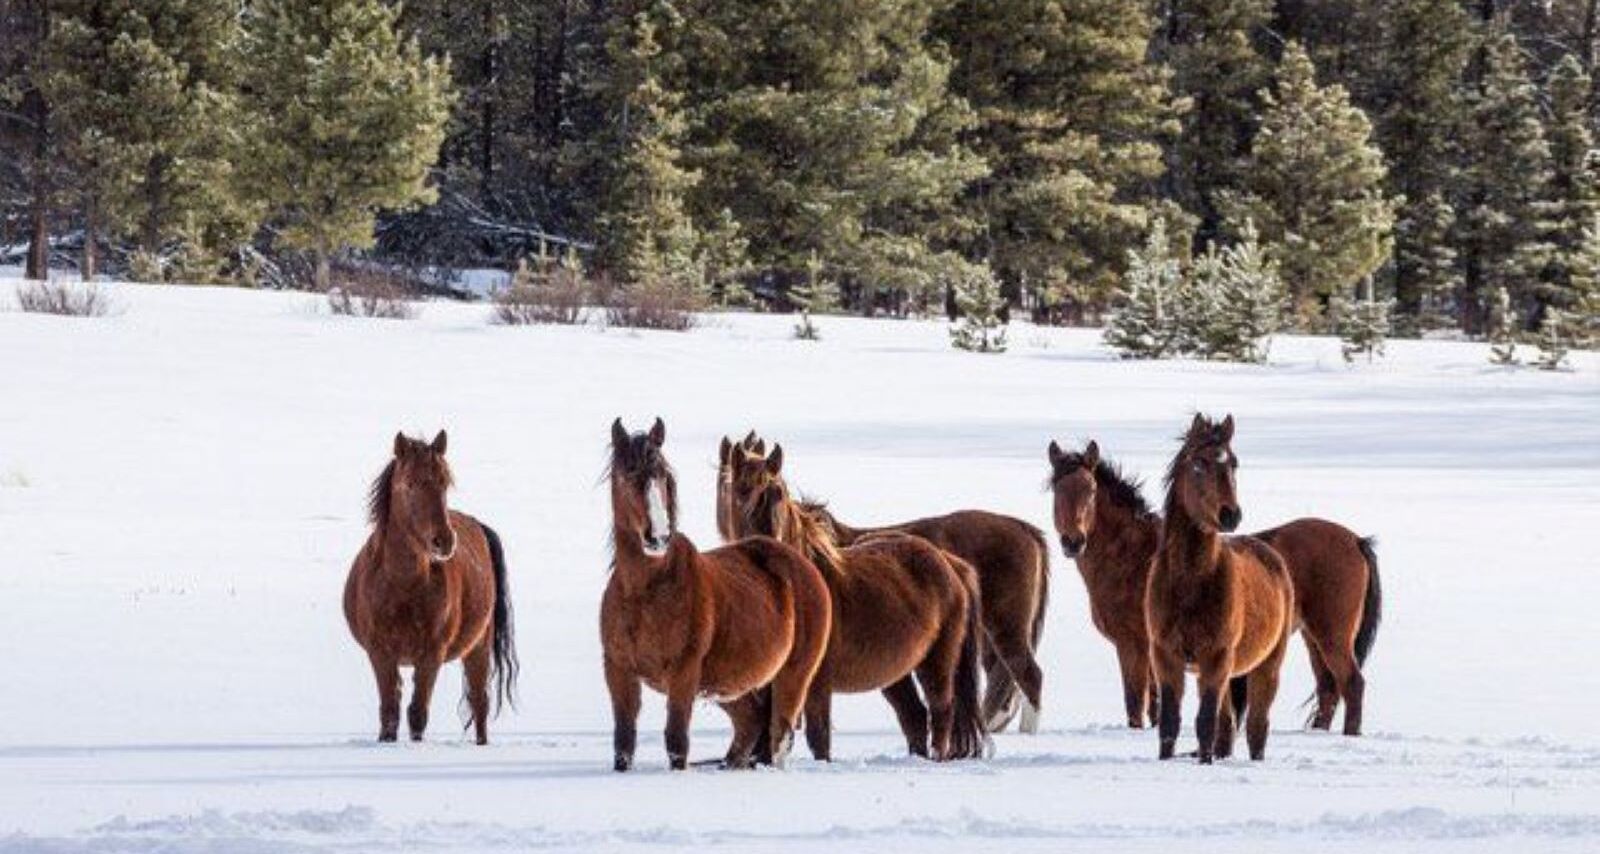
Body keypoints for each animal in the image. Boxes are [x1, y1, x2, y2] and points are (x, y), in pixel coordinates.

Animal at [343, 431, 518, 745]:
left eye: (445, 482)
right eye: (410, 483)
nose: (444, 541)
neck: (401, 586)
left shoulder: (431, 654)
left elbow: (417, 714)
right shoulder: (379, 652)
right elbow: (390, 711)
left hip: (478, 647)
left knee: (480, 702)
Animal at [601, 418, 832, 771]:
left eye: (663, 476)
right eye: (627, 475)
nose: (657, 537)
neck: (646, 591)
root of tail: (803, 564)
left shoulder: (683, 675)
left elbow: (676, 743)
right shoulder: (618, 672)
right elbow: (623, 744)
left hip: (791, 678)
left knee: (779, 737)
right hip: (732, 687)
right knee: (750, 726)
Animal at [725, 434, 1049, 734]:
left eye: (778, 492)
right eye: (741, 490)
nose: (768, 540)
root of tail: (1025, 529)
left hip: (1006, 628)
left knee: (1029, 676)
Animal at [1047, 440, 1381, 734]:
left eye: (1090, 490)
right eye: (1056, 489)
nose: (1073, 542)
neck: (1135, 556)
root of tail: (1356, 540)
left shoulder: (1132, 645)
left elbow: (1135, 703)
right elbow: (1155, 704)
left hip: (1332, 636)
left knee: (1352, 684)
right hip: (1314, 636)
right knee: (1328, 689)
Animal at [1146, 414, 1295, 763]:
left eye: (1234, 464)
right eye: (1198, 463)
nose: (1231, 514)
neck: (1189, 584)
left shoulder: (1215, 657)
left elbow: (1204, 723)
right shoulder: (1165, 656)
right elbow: (1170, 723)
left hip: (1266, 666)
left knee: (1256, 727)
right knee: (1228, 727)